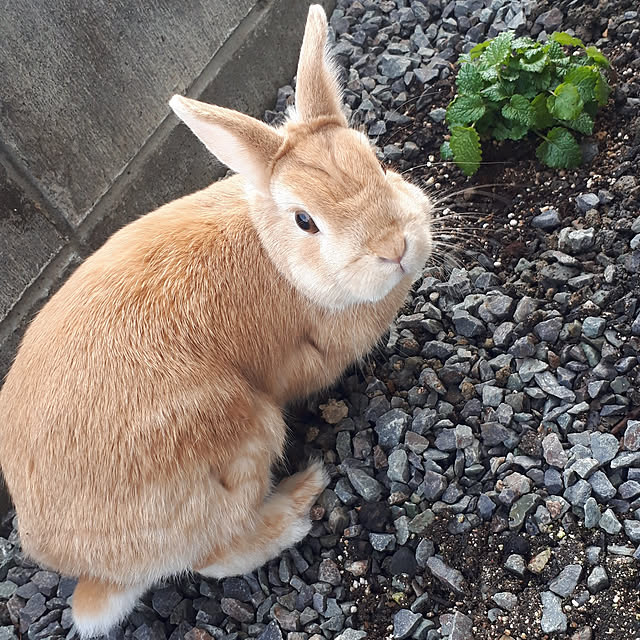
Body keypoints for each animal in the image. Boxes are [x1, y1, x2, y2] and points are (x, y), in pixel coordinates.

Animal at [0, 3, 436, 636]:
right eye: (305, 220)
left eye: (377, 162)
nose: (396, 248)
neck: (277, 255)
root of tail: (82, 565)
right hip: (237, 437)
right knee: (213, 556)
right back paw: (299, 501)